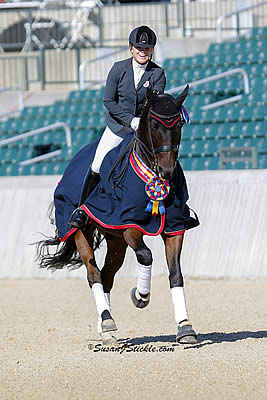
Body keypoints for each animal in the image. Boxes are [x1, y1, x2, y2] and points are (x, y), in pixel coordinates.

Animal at [36, 86, 199, 346]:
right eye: (153, 124)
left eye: (179, 124)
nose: (167, 171)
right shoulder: (128, 223)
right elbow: (145, 255)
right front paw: (140, 296)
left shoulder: (174, 228)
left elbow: (176, 275)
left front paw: (185, 327)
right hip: (82, 231)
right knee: (94, 275)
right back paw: (107, 321)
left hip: (115, 241)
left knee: (107, 276)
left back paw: (106, 328)